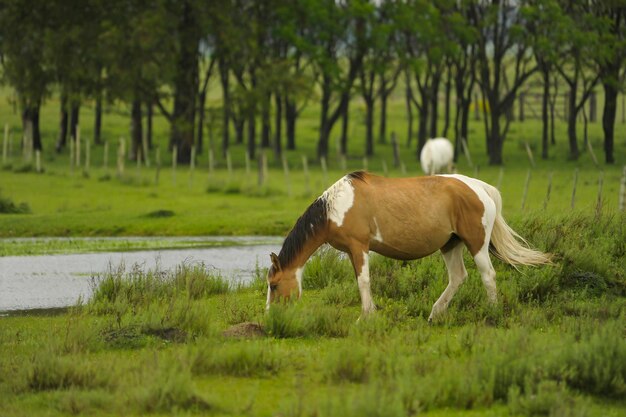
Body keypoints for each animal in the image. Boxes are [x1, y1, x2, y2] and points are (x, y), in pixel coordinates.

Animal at [266, 171, 548, 320]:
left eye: (273, 285)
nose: (271, 316)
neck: (336, 206)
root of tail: (479, 188)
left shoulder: (359, 248)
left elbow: (363, 281)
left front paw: (365, 316)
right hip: (451, 245)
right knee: (458, 277)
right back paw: (435, 314)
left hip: (476, 243)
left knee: (488, 275)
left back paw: (491, 312)